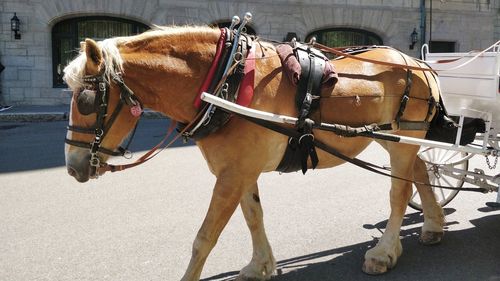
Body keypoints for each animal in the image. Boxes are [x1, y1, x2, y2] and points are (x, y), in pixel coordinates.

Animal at [63, 25, 446, 278]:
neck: (225, 82)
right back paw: (433, 224)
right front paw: (260, 265)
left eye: (86, 101)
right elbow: (253, 216)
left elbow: (204, 238)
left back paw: (384, 252)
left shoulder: (232, 176)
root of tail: (419, 63)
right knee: (421, 172)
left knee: (399, 192)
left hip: (404, 135)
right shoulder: (240, 171)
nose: (72, 167)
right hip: (395, 138)